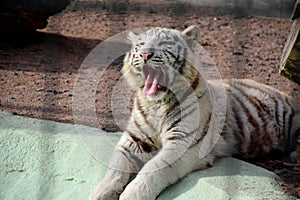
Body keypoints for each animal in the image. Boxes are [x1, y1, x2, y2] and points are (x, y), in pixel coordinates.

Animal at [89, 25, 300, 199]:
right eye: (140, 45)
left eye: (163, 44)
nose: (145, 54)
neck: (156, 104)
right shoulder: (134, 139)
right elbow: (116, 164)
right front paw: (100, 191)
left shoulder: (182, 144)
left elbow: (153, 168)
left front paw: (132, 195)